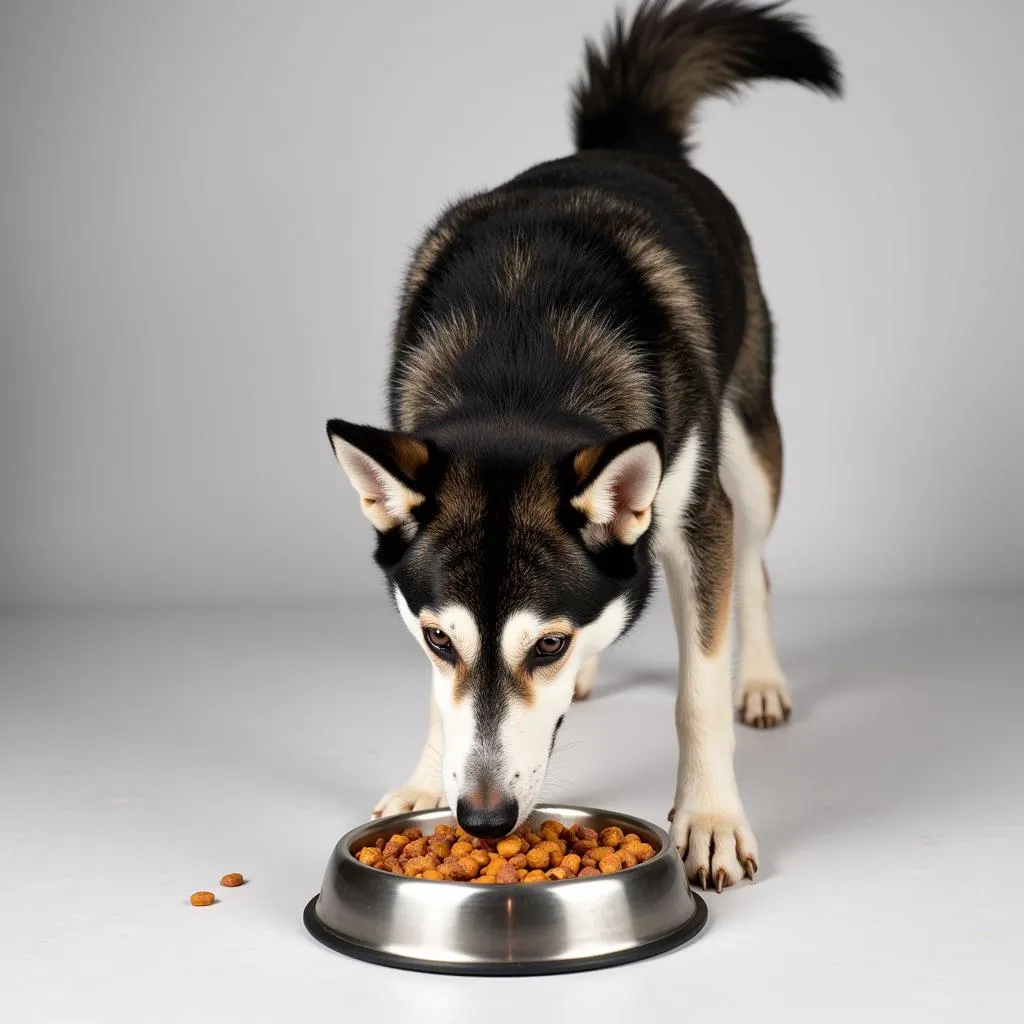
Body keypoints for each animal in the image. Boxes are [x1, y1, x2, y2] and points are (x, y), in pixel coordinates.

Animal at [327, 0, 839, 892]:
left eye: (549, 644)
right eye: (439, 639)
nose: (483, 819)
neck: (519, 361)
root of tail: (625, 145)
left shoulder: (696, 518)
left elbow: (697, 690)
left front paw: (709, 818)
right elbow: (439, 696)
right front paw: (426, 781)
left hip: (749, 444)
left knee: (754, 564)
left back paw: (762, 681)